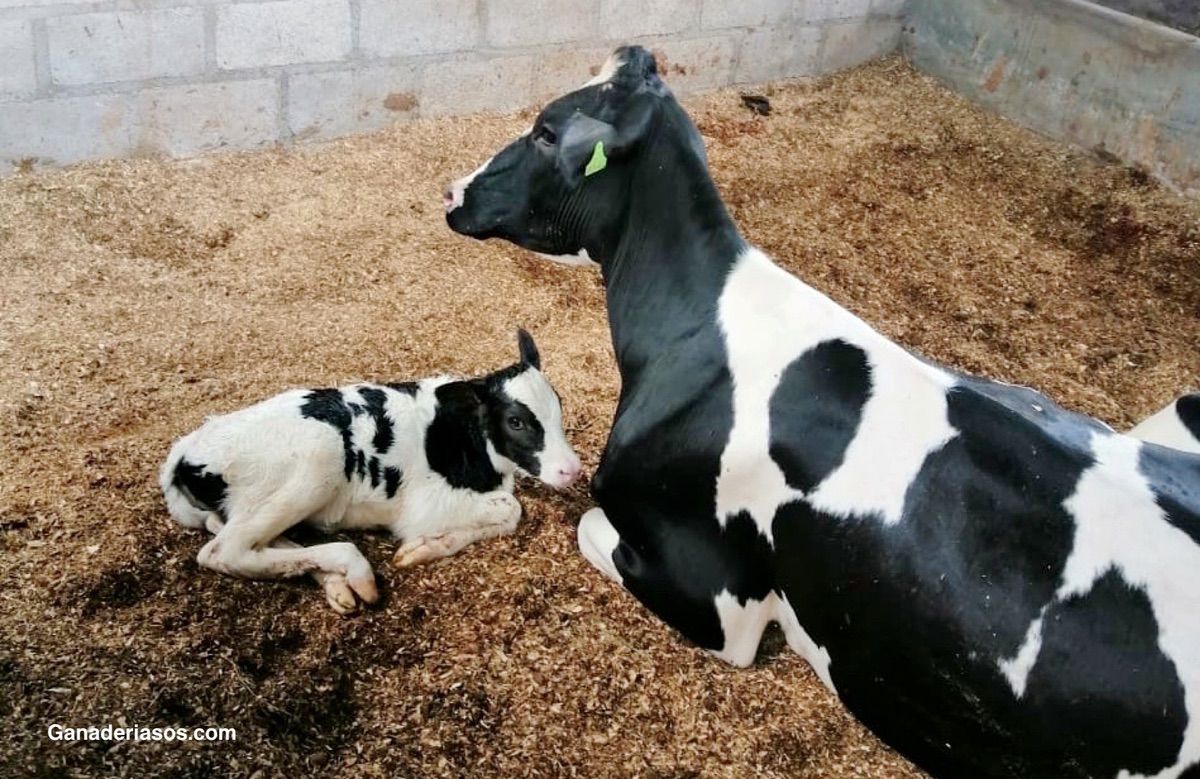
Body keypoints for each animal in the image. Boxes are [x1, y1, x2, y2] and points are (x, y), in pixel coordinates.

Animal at [159, 328, 580, 614]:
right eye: (516, 421)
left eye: (558, 405)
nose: (571, 470)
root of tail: (187, 447)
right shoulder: (425, 503)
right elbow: (512, 508)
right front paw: (422, 547)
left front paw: (427, 546)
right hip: (318, 458)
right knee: (223, 550)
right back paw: (354, 568)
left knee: (241, 536)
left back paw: (335, 583)